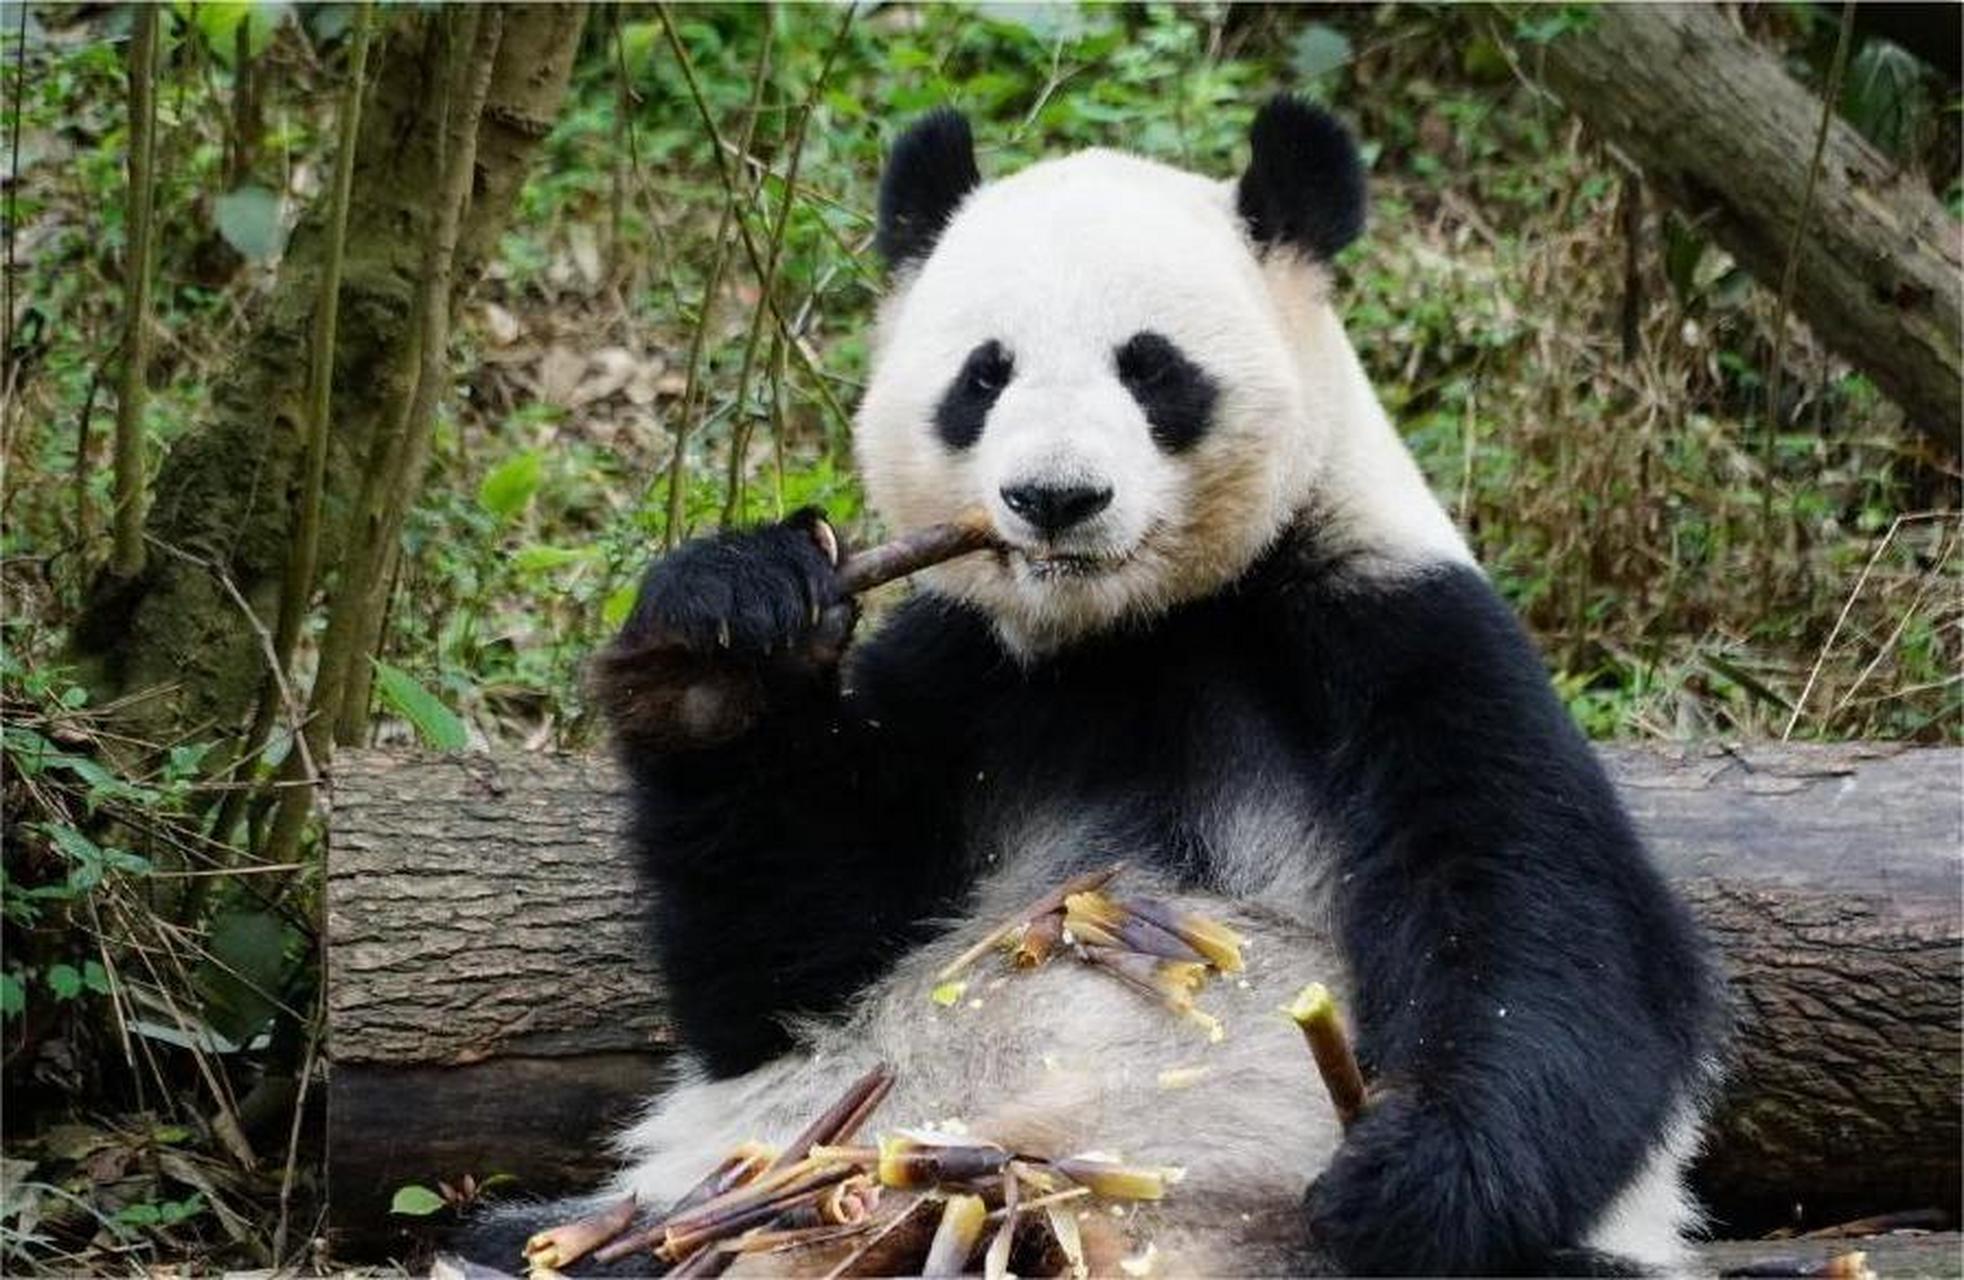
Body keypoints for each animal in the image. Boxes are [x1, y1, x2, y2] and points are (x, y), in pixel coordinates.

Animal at [461, 98, 1723, 1277]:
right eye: (983, 374)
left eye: (1150, 366)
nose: (1054, 497)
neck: (1128, 631)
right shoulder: (961, 675)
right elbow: (784, 957)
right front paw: (722, 638)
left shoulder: (1394, 630)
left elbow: (1556, 936)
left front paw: (1407, 1175)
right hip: (782, 1167)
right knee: (560, 1230)